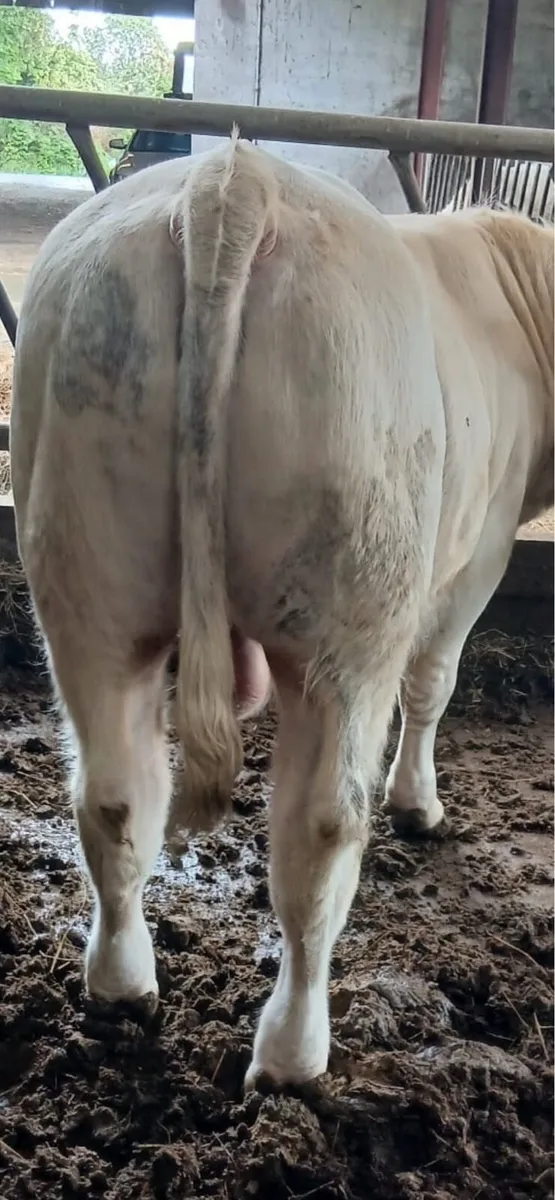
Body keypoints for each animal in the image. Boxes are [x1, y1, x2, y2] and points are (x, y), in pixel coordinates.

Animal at [10, 135, 554, 1089]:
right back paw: (294, 1052)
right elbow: (433, 684)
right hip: (352, 603)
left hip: (86, 570)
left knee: (114, 795)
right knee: (320, 831)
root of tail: (233, 178)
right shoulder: (476, 555)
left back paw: (120, 985)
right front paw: (420, 804)